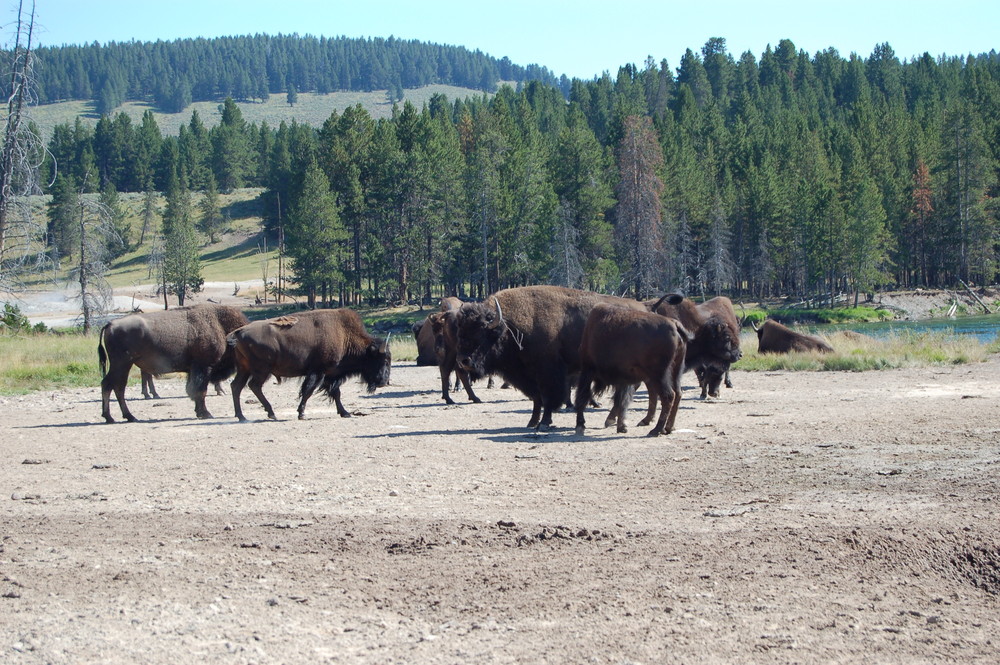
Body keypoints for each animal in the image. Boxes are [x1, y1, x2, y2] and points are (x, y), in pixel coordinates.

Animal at [96, 304, 249, 422]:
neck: (220, 326)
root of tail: (110, 324)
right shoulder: (204, 367)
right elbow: (200, 391)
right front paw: (206, 414)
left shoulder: (193, 370)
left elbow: (193, 390)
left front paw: (199, 412)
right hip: (122, 364)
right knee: (113, 386)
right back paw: (119, 417)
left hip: (122, 365)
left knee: (114, 386)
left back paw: (120, 417)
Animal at [228, 308, 390, 420]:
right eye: (384, 360)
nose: (384, 381)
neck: (345, 336)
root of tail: (239, 331)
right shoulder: (318, 372)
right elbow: (308, 391)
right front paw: (301, 413)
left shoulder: (330, 375)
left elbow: (335, 393)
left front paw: (345, 413)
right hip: (262, 370)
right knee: (254, 386)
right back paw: (271, 413)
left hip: (244, 369)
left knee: (236, 386)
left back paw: (241, 416)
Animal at [452, 282, 644, 428]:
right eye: (460, 332)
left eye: (481, 335)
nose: (463, 360)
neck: (510, 326)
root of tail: (640, 307)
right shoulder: (528, 377)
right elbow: (537, 398)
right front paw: (532, 422)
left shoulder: (548, 373)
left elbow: (547, 397)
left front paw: (544, 422)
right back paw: (612, 420)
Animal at [576, 304, 692, 438]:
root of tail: (674, 324)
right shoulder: (623, 379)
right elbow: (621, 400)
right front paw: (621, 426)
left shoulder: (587, 370)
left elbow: (582, 397)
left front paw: (580, 426)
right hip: (674, 371)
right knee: (677, 393)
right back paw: (668, 428)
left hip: (659, 376)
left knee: (668, 396)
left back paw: (656, 430)